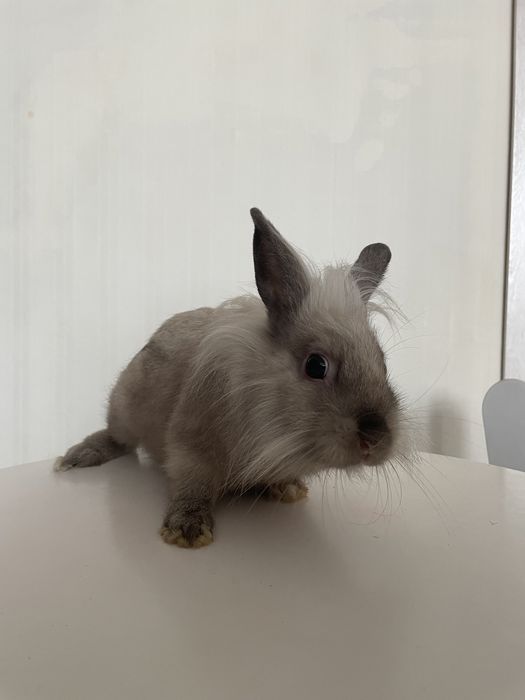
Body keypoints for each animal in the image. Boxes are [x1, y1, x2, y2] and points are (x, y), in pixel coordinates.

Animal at [55, 207, 405, 548]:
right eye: (316, 366)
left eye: (383, 362)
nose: (376, 438)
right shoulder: (190, 444)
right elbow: (191, 483)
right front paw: (187, 530)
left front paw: (288, 488)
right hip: (124, 406)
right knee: (117, 437)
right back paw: (77, 457)